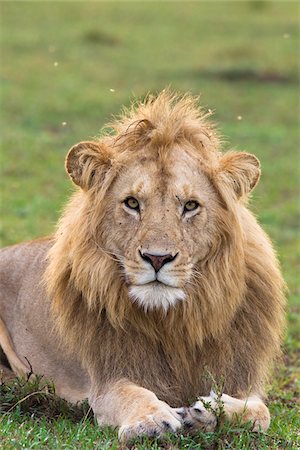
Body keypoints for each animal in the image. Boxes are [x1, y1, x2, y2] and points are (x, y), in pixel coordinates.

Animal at [0, 90, 286, 440]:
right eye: (132, 203)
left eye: (190, 206)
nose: (157, 258)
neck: (173, 323)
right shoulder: (106, 380)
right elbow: (133, 394)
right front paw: (152, 421)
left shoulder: (241, 377)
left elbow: (261, 412)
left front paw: (207, 412)